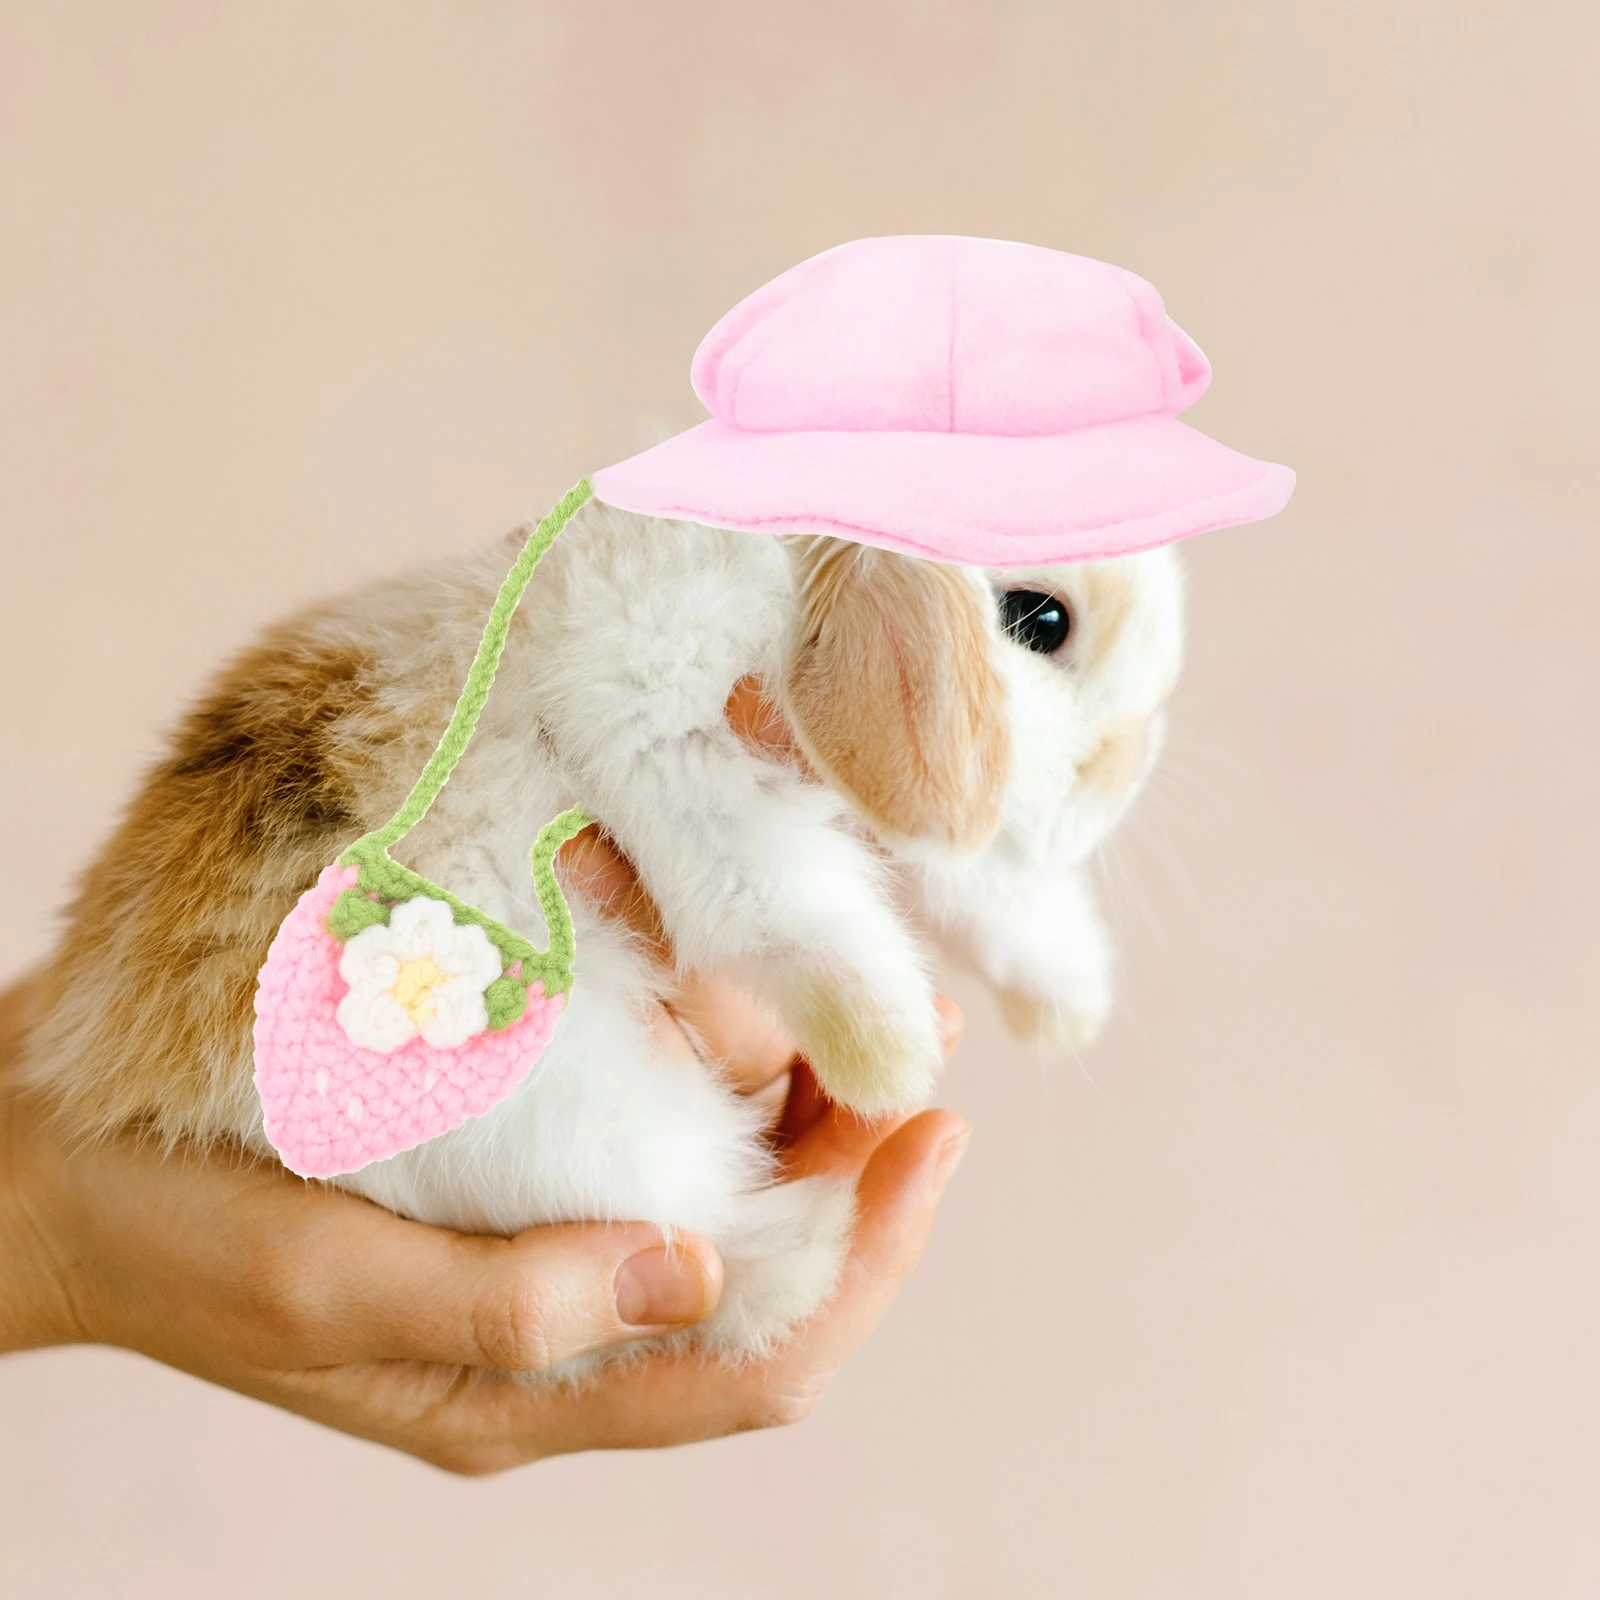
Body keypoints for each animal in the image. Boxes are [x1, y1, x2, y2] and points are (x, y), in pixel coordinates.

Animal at [20, 495, 1183, 1366]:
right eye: (1038, 620)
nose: (1122, 781)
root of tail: (121, 1064)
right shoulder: (665, 733)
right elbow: (779, 900)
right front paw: (889, 1058)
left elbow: (982, 893)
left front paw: (1069, 1004)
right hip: (551, 1121)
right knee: (696, 1213)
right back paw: (805, 1244)